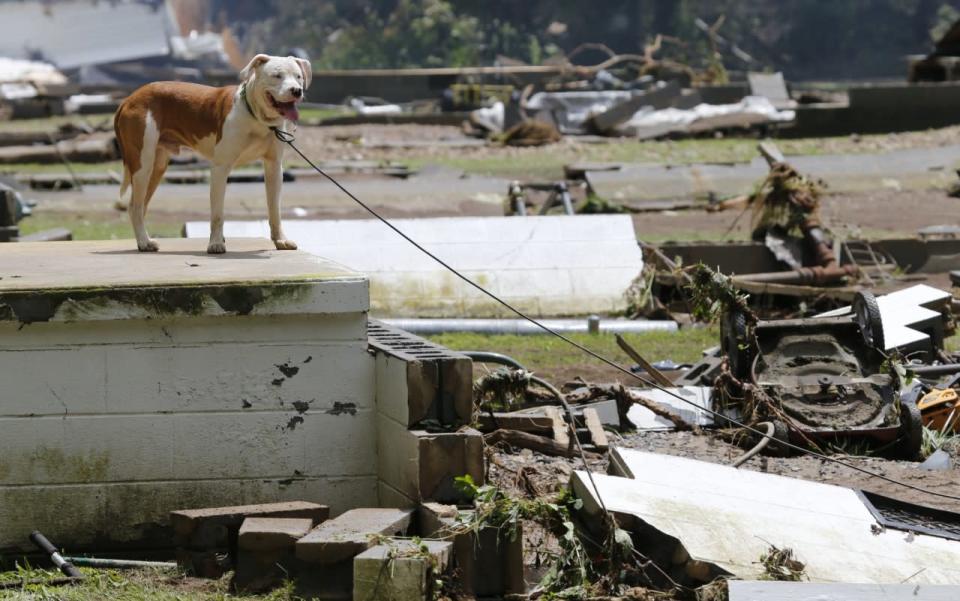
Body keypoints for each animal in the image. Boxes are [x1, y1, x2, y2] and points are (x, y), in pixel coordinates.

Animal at [114, 54, 312, 253]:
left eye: (298, 76)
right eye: (277, 75)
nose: (296, 90)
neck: (257, 117)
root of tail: (130, 98)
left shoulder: (274, 167)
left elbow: (274, 210)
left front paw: (280, 240)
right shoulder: (220, 168)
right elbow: (217, 213)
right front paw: (216, 243)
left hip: (157, 166)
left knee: (139, 205)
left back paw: (144, 240)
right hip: (143, 164)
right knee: (135, 205)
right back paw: (144, 242)